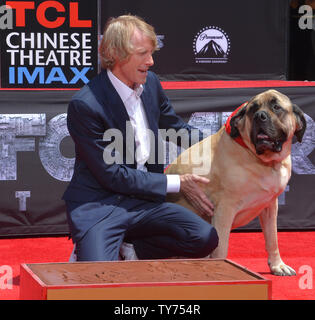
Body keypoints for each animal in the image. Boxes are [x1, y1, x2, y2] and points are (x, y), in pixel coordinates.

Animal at [167, 89, 308, 276]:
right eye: (253, 109)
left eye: (276, 107)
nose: (260, 116)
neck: (263, 161)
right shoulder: (224, 209)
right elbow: (221, 248)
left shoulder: (270, 205)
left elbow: (272, 238)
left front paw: (277, 265)